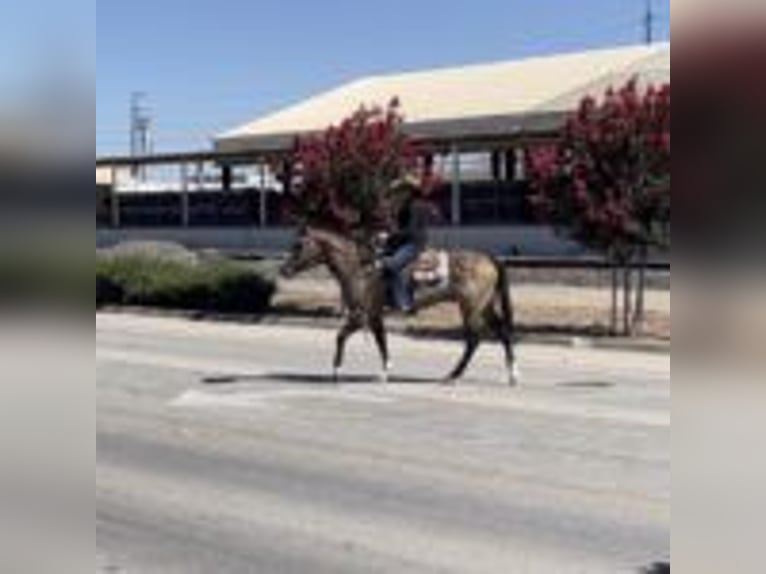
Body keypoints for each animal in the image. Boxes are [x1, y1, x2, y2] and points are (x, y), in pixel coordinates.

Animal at [279, 226, 520, 386]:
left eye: (298, 246)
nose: (284, 270)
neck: (361, 269)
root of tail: (489, 258)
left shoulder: (360, 316)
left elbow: (340, 337)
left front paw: (336, 371)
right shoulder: (374, 316)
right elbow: (381, 341)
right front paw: (385, 373)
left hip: (471, 308)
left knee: (473, 340)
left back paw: (453, 375)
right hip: (484, 306)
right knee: (503, 333)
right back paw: (512, 375)